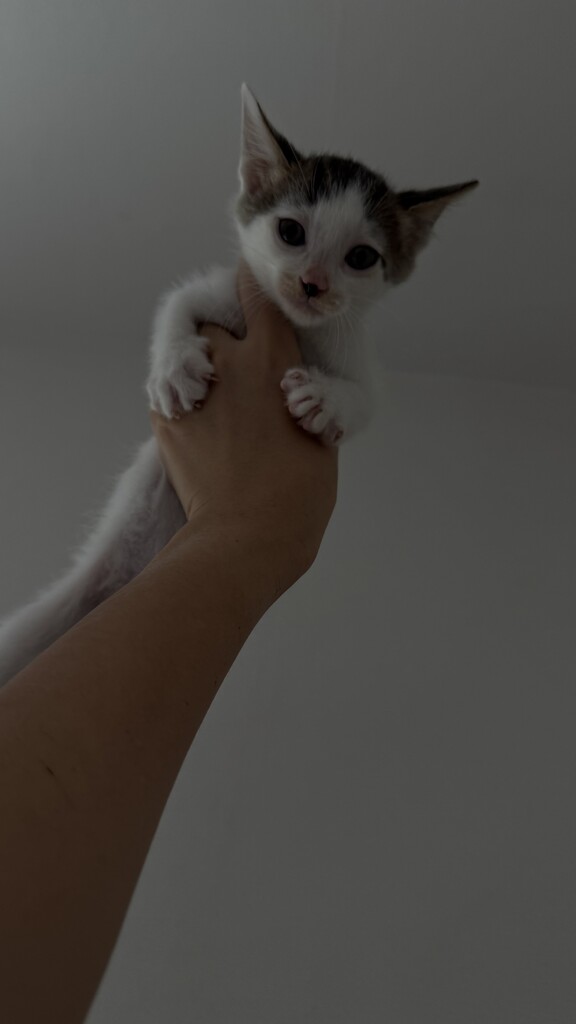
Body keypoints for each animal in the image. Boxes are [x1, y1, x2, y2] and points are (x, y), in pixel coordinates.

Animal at [0, 84, 477, 686]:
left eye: (362, 257)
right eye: (291, 231)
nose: (313, 284)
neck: (295, 326)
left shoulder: (355, 355)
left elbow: (366, 401)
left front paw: (325, 400)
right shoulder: (222, 289)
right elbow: (174, 305)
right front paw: (175, 367)